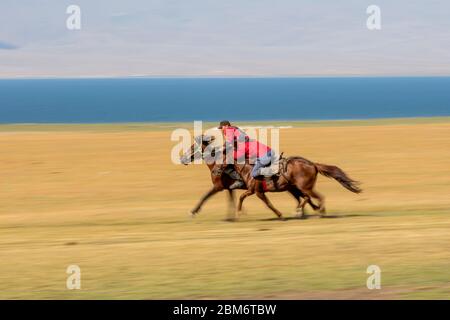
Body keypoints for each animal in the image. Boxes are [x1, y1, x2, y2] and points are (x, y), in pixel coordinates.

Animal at [179, 134, 316, 219]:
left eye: (193, 147)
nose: (182, 158)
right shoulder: (230, 188)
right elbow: (232, 201)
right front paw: (235, 215)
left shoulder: (218, 187)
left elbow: (204, 197)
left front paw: (193, 212)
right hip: (291, 187)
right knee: (301, 197)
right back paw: (306, 211)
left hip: (292, 186)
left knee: (303, 196)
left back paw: (304, 211)